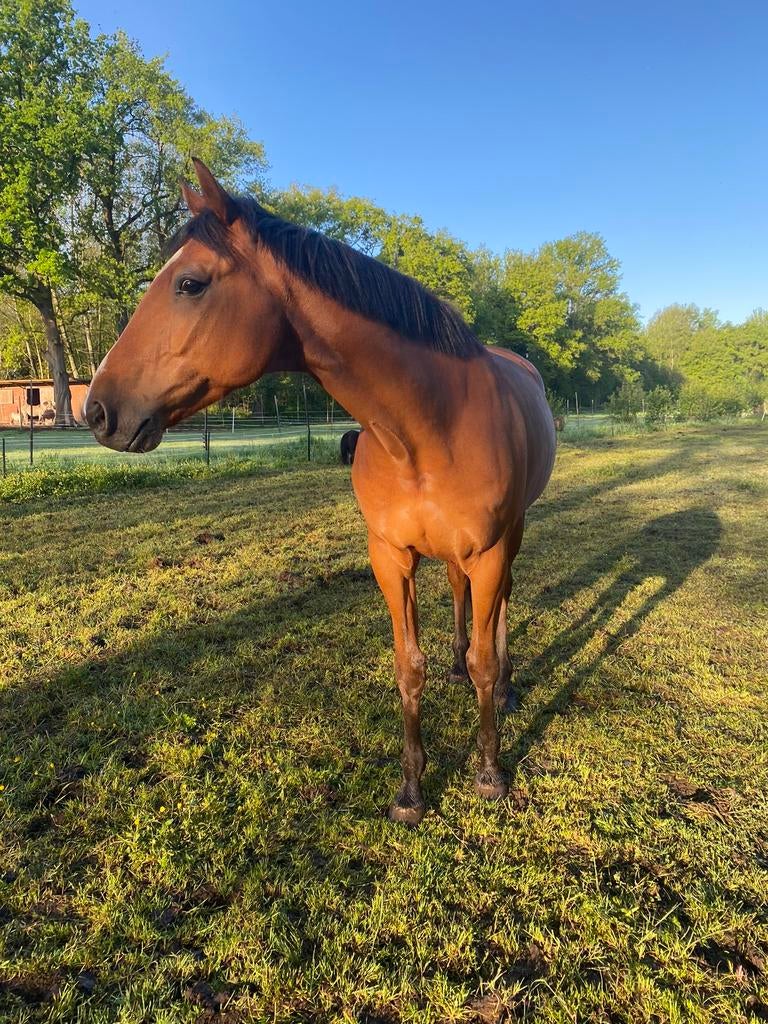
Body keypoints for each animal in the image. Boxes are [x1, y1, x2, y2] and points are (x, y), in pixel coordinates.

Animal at [84, 160, 556, 824]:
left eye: (190, 284)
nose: (97, 410)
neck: (426, 430)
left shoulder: (487, 550)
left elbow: (485, 660)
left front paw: (489, 772)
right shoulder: (390, 556)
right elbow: (409, 668)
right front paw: (411, 789)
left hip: (510, 537)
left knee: (502, 606)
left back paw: (509, 686)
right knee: (459, 596)